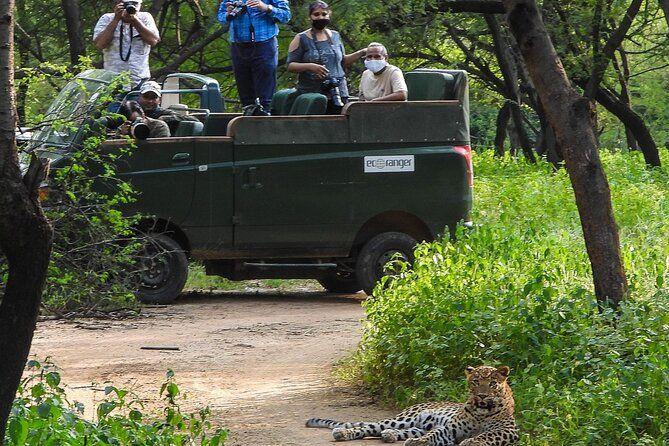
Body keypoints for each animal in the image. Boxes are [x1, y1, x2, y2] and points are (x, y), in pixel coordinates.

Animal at [306, 365, 518, 446]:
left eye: (492, 384)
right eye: (475, 382)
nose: (482, 395)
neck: (482, 410)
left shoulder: (510, 430)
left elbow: (487, 434)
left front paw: (471, 441)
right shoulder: (449, 428)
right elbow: (434, 434)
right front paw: (420, 442)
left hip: (414, 426)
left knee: (389, 431)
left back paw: (390, 436)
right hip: (403, 419)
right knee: (368, 426)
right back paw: (343, 433)